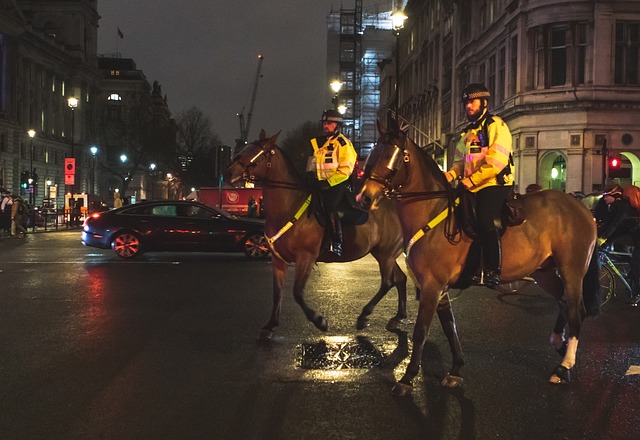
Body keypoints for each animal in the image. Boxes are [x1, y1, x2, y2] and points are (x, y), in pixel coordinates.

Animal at [225, 130, 464, 382]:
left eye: (257, 153)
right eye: (246, 148)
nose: (228, 172)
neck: (288, 205)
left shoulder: (305, 259)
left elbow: (297, 293)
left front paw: (320, 321)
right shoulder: (278, 261)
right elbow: (277, 293)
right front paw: (270, 325)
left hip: (386, 254)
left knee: (388, 281)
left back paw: (364, 316)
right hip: (383, 254)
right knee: (399, 279)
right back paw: (398, 316)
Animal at [358, 120, 604, 396]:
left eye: (393, 157)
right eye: (374, 154)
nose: (365, 197)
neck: (432, 211)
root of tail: (581, 207)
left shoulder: (432, 285)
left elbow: (421, 330)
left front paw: (408, 377)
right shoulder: (439, 288)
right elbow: (450, 327)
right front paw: (455, 369)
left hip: (572, 270)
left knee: (575, 310)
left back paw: (564, 366)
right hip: (546, 272)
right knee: (563, 303)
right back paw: (559, 346)